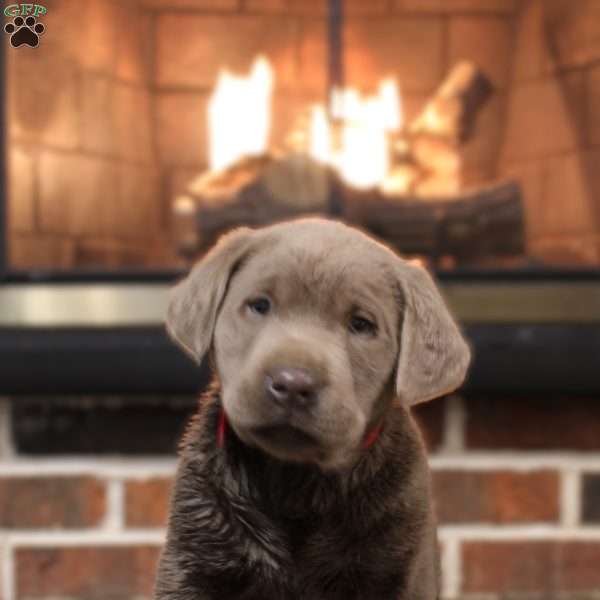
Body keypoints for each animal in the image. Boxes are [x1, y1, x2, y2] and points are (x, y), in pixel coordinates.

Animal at [156, 219, 474, 600]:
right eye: (259, 305)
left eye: (361, 325)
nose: (293, 383)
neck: (295, 484)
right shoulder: (192, 560)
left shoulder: (399, 563)